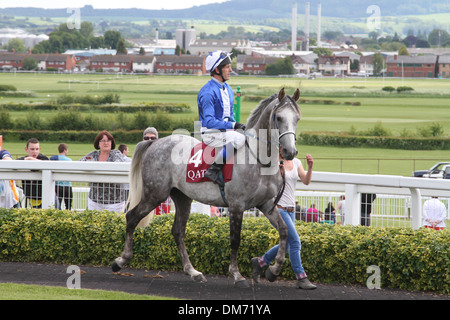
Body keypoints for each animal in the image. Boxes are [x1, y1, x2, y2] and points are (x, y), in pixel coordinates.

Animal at [112, 87, 302, 288]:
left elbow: (284, 231)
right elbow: (235, 240)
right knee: (132, 217)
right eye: (279, 117)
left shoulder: (265, 204)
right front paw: (237, 275)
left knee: (178, 231)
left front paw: (274, 270)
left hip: (181, 196)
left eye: (297, 118)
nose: (290, 152)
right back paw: (120, 261)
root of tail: (154, 142)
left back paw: (193, 272)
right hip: (155, 194)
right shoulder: (236, 205)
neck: (257, 160)